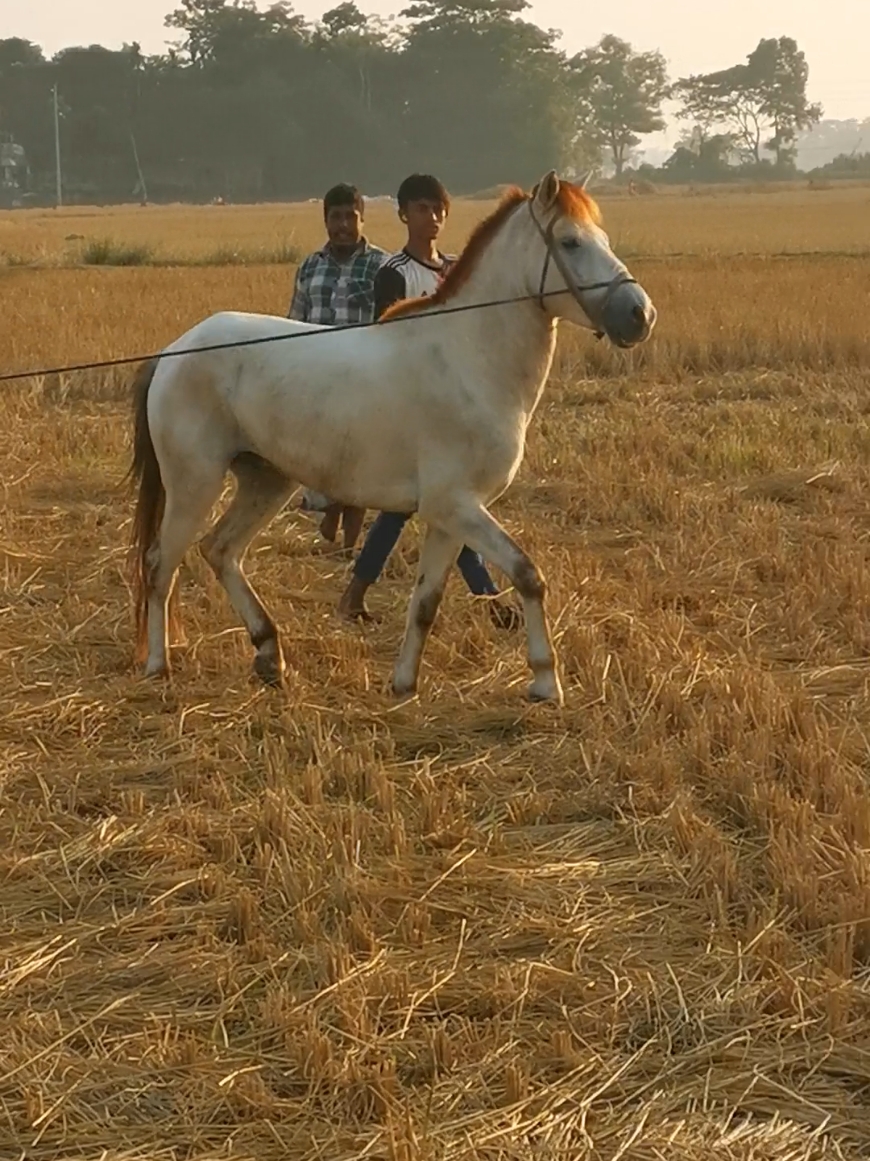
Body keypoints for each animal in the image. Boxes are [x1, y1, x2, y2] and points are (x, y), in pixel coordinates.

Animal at [125, 169, 655, 701]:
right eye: (570, 242)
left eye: (603, 238)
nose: (641, 314)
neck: (468, 359)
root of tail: (173, 351)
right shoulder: (456, 505)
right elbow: (528, 575)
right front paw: (545, 680)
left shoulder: (449, 519)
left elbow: (426, 601)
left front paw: (404, 683)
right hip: (194, 485)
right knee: (159, 564)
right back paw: (158, 664)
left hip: (267, 480)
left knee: (220, 551)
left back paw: (269, 654)